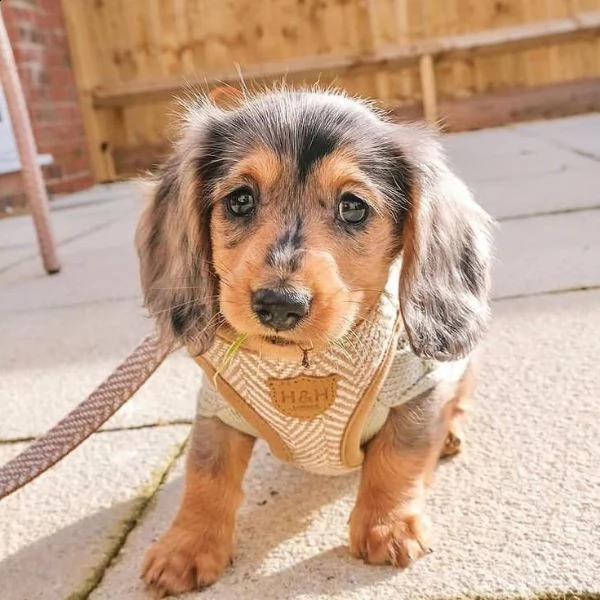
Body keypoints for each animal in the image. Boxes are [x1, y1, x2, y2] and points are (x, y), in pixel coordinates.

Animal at [136, 86, 492, 596]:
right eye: (240, 200)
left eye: (353, 206)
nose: (279, 304)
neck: (304, 362)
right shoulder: (217, 409)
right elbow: (206, 474)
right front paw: (186, 544)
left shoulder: (418, 390)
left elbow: (397, 458)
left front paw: (387, 525)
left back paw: (449, 436)